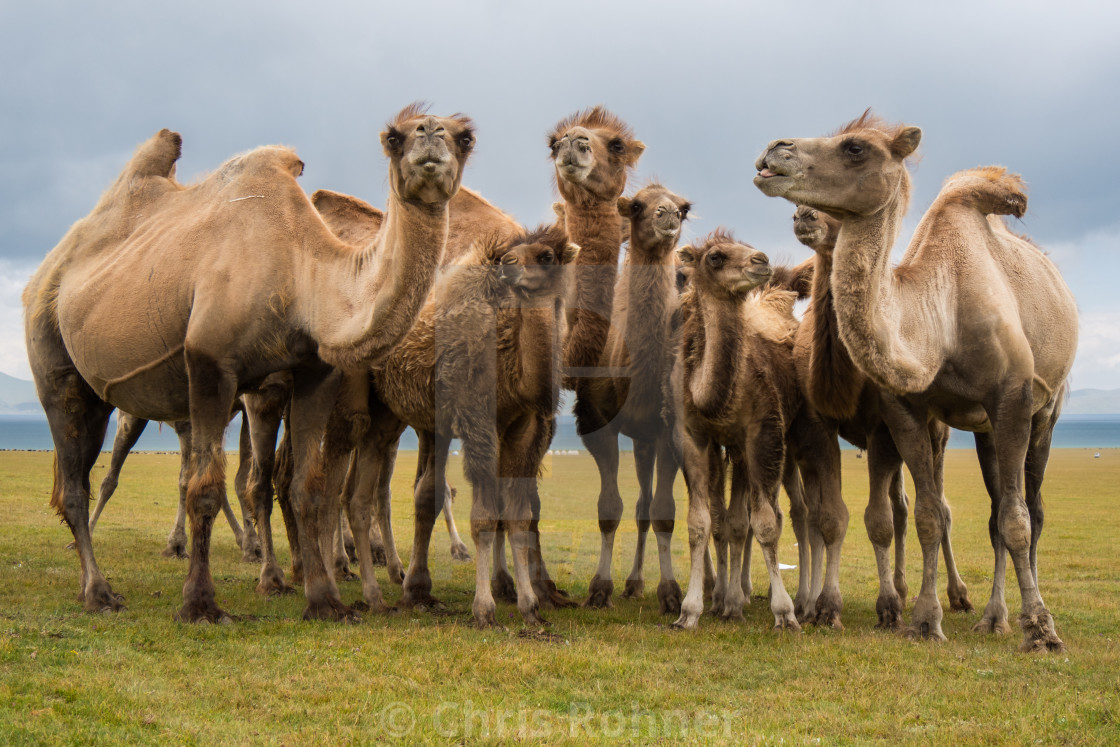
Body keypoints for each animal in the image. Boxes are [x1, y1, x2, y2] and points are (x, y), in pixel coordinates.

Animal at [26, 102, 472, 622]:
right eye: (394, 138)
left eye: (465, 137)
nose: (430, 134)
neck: (303, 272)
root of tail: (48, 269)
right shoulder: (211, 365)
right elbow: (207, 488)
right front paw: (201, 603)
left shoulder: (315, 371)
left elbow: (306, 487)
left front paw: (325, 600)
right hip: (51, 360)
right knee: (76, 478)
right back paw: (99, 591)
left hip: (98, 391)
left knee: (81, 468)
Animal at [577, 182, 689, 613]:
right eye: (637, 205)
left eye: (684, 208)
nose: (668, 214)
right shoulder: (597, 423)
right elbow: (609, 508)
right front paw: (599, 588)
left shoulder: (668, 430)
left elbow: (664, 512)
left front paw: (671, 593)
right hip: (638, 438)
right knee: (638, 503)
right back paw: (632, 583)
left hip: (647, 438)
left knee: (647, 505)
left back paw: (642, 582)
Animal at [663, 234, 842, 631]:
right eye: (715, 256)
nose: (761, 260)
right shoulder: (693, 437)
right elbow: (702, 523)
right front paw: (691, 610)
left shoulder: (762, 433)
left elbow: (764, 524)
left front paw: (783, 612)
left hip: (803, 434)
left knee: (811, 514)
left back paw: (810, 604)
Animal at [788, 202, 972, 627]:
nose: (804, 215)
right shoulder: (820, 425)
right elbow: (832, 517)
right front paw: (827, 607)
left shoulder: (882, 427)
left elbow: (879, 521)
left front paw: (887, 606)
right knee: (903, 505)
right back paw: (906, 589)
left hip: (936, 432)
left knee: (939, 505)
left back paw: (956, 595)